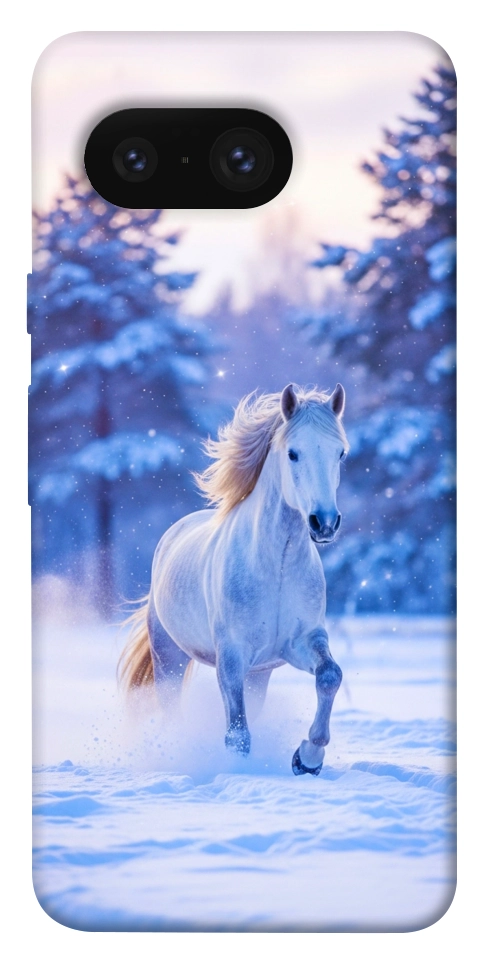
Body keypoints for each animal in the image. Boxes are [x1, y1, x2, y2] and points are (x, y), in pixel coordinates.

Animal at [119, 382, 348, 775]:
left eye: (340, 453)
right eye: (293, 453)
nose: (324, 523)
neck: (276, 567)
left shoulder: (301, 642)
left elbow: (330, 676)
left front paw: (307, 758)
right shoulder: (231, 656)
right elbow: (237, 734)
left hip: (259, 674)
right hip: (169, 657)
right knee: (171, 709)